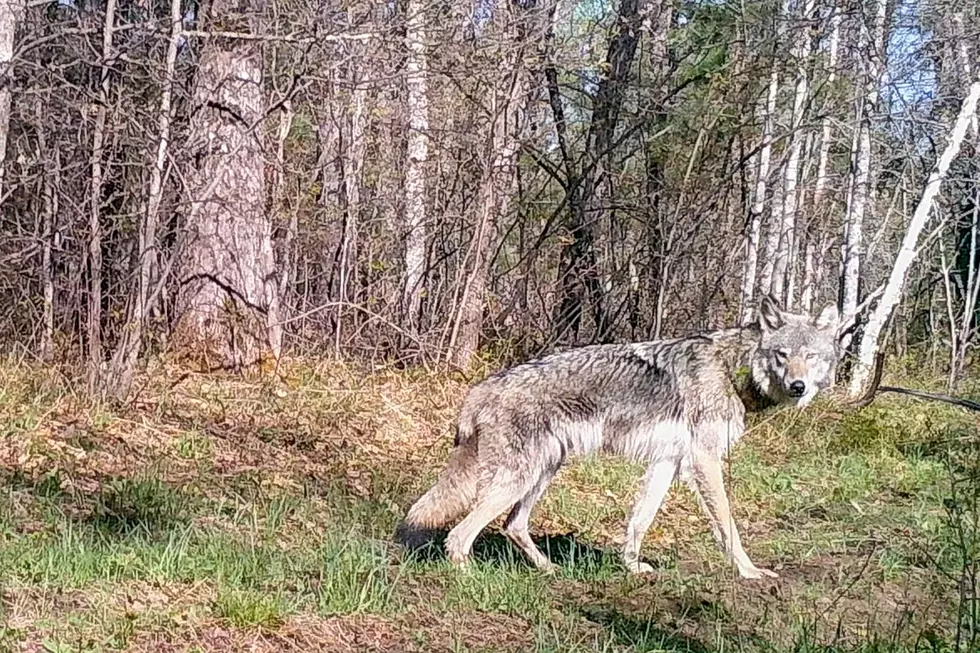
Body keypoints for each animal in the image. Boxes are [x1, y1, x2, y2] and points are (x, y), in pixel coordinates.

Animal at [396, 295, 840, 580]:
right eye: (783, 355)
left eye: (811, 356)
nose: (799, 386)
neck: (734, 370)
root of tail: (482, 388)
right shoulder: (703, 461)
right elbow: (727, 525)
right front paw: (749, 572)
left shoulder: (667, 462)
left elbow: (640, 520)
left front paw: (632, 567)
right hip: (517, 480)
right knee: (458, 536)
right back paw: (469, 577)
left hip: (542, 473)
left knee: (512, 526)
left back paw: (549, 570)